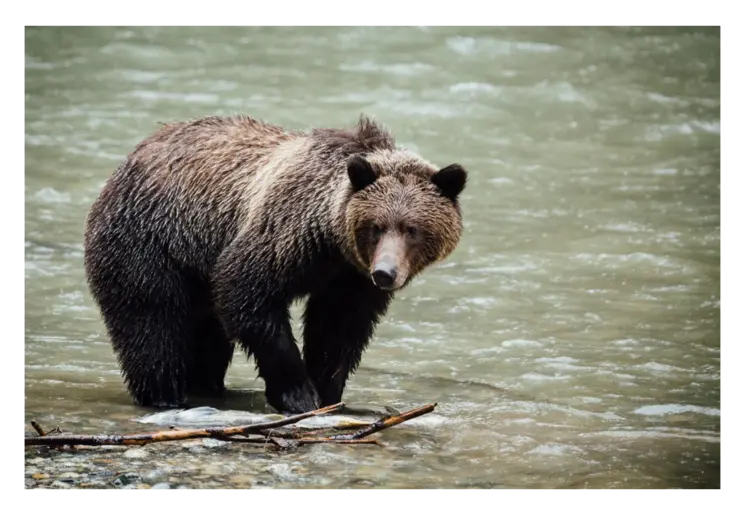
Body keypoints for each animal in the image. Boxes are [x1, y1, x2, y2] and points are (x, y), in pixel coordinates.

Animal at [83, 114, 468, 414]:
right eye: (376, 226)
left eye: (412, 229)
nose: (385, 273)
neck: (332, 241)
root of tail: (131, 156)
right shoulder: (287, 232)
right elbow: (246, 291)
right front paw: (299, 395)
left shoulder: (349, 277)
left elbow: (338, 327)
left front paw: (328, 391)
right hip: (151, 242)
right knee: (152, 324)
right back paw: (165, 395)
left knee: (206, 336)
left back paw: (204, 385)